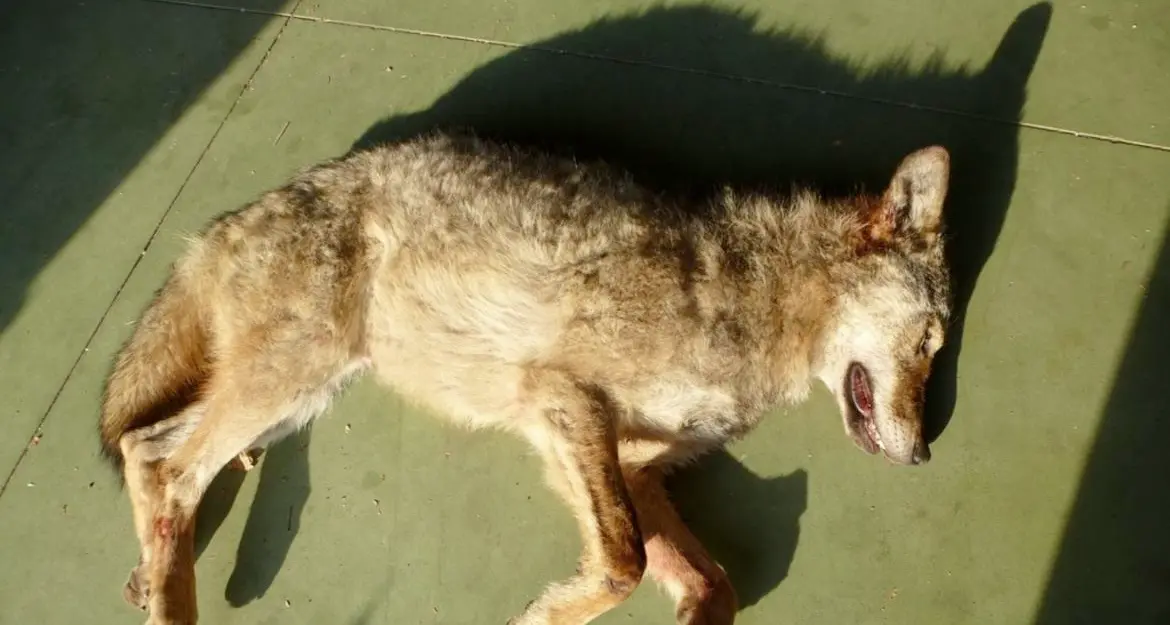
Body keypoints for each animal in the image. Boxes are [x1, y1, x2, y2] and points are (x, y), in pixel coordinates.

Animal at [99, 130, 951, 625]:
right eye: (930, 342)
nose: (923, 456)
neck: (761, 298)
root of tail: (217, 227)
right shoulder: (564, 400)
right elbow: (622, 563)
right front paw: (547, 616)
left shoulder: (633, 467)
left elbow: (713, 586)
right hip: (300, 373)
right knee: (170, 468)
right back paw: (168, 598)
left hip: (305, 391)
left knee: (147, 446)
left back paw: (151, 575)